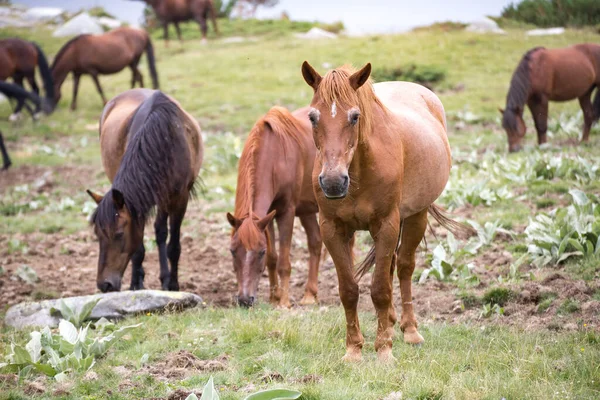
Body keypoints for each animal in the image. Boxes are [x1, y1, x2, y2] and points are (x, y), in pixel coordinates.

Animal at [86, 89, 203, 292]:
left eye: (119, 234)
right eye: (97, 235)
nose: (104, 285)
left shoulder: (179, 198)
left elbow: (173, 246)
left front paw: (173, 285)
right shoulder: (136, 206)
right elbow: (138, 248)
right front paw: (136, 283)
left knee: (161, 231)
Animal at [226, 105, 324, 306]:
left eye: (260, 252)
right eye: (232, 251)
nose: (245, 300)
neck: (275, 155)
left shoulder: (286, 212)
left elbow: (284, 262)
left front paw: (284, 302)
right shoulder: (268, 216)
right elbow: (273, 259)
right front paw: (273, 298)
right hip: (307, 210)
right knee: (316, 242)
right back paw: (310, 295)